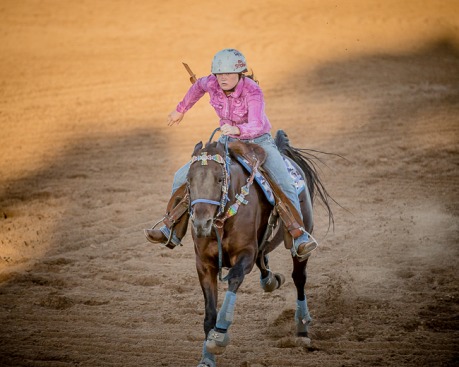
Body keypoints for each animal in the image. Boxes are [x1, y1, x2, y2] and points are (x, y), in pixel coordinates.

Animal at [187, 130, 334, 367]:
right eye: (189, 180)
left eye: (219, 179)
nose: (201, 223)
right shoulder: (204, 264)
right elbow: (209, 314)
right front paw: (207, 358)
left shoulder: (245, 255)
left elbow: (235, 278)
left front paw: (219, 336)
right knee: (264, 260)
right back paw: (270, 280)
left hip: (302, 241)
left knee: (299, 278)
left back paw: (302, 329)